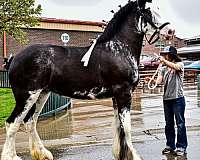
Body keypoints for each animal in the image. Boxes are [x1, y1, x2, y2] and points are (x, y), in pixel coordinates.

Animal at [1, 0, 173, 159]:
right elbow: (127, 127)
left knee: (30, 121)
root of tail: (14, 59)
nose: (171, 31)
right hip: (27, 96)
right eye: (148, 11)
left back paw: (43, 153)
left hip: (41, 95)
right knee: (12, 123)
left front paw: (120, 154)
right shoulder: (124, 94)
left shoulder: (116, 97)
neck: (118, 49)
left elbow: (119, 127)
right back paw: (12, 156)